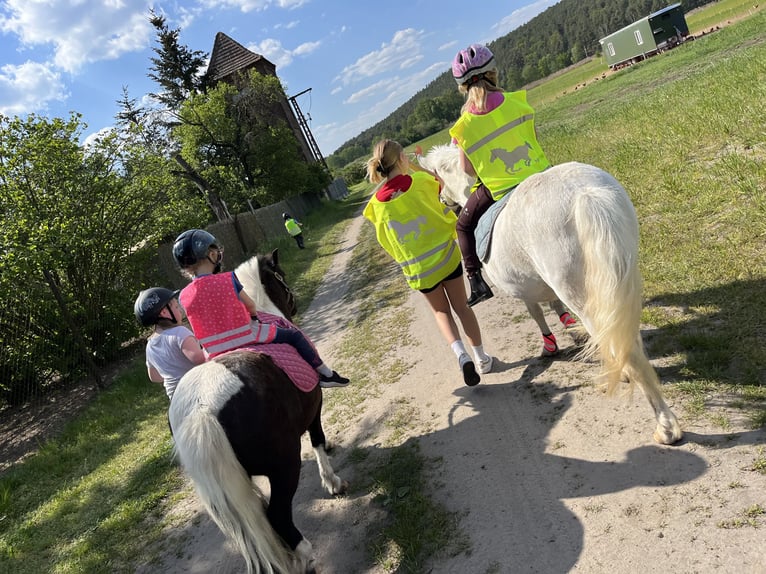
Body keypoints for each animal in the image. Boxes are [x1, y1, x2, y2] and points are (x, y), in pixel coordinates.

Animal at [170, 251, 348, 574]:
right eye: (282, 276)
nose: (294, 302)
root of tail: (202, 410)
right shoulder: (314, 408)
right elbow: (317, 440)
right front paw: (333, 482)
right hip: (285, 465)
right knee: (278, 516)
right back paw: (305, 557)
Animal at [420, 144, 684, 446]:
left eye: (437, 177)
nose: (442, 200)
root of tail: (584, 194)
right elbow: (557, 307)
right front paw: (574, 335)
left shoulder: (523, 288)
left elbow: (536, 313)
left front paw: (550, 347)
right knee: (626, 337)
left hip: (581, 294)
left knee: (627, 351)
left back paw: (665, 429)